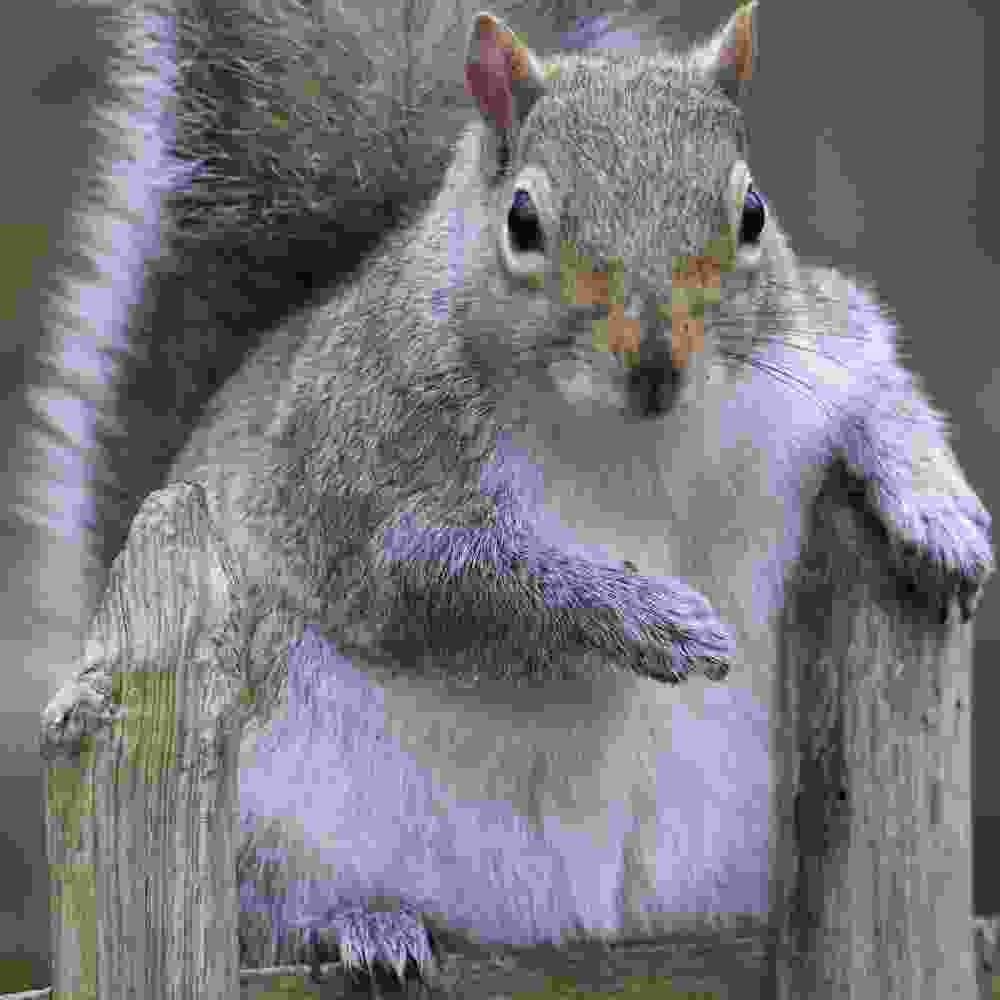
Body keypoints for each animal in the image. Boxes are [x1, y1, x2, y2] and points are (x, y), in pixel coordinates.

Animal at [36, 2, 993, 993]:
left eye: (753, 212)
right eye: (524, 220)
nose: (657, 363)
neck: (633, 438)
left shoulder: (813, 350)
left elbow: (880, 385)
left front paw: (936, 510)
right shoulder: (362, 484)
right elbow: (469, 585)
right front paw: (648, 616)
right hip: (269, 800)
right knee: (268, 915)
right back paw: (357, 924)